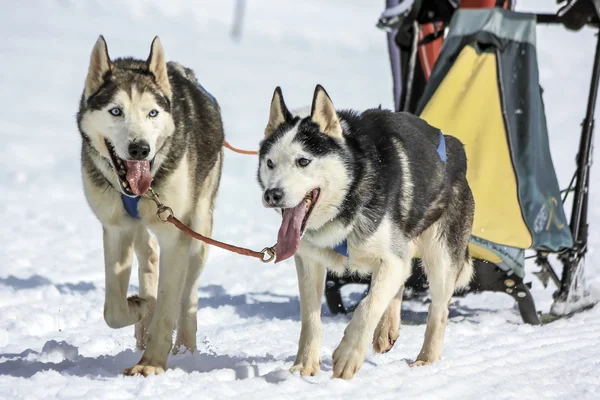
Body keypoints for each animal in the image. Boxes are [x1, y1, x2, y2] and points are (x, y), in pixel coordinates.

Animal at [76, 35, 224, 376]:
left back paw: (184, 346)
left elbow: (170, 305)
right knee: (149, 258)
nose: (140, 149)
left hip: (199, 230)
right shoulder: (116, 229)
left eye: (152, 113)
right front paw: (140, 307)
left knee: (188, 295)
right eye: (116, 111)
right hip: (142, 232)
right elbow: (113, 309)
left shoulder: (176, 236)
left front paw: (151, 364)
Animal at [255, 86, 476, 380]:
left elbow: (368, 306)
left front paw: (348, 355)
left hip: (441, 257)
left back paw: (426, 359)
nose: (272, 195)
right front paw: (304, 365)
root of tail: (455, 146)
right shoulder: (309, 261)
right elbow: (311, 318)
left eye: (303, 161)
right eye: (270, 163)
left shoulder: (391, 260)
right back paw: (386, 328)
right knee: (401, 282)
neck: (349, 199)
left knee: (438, 310)